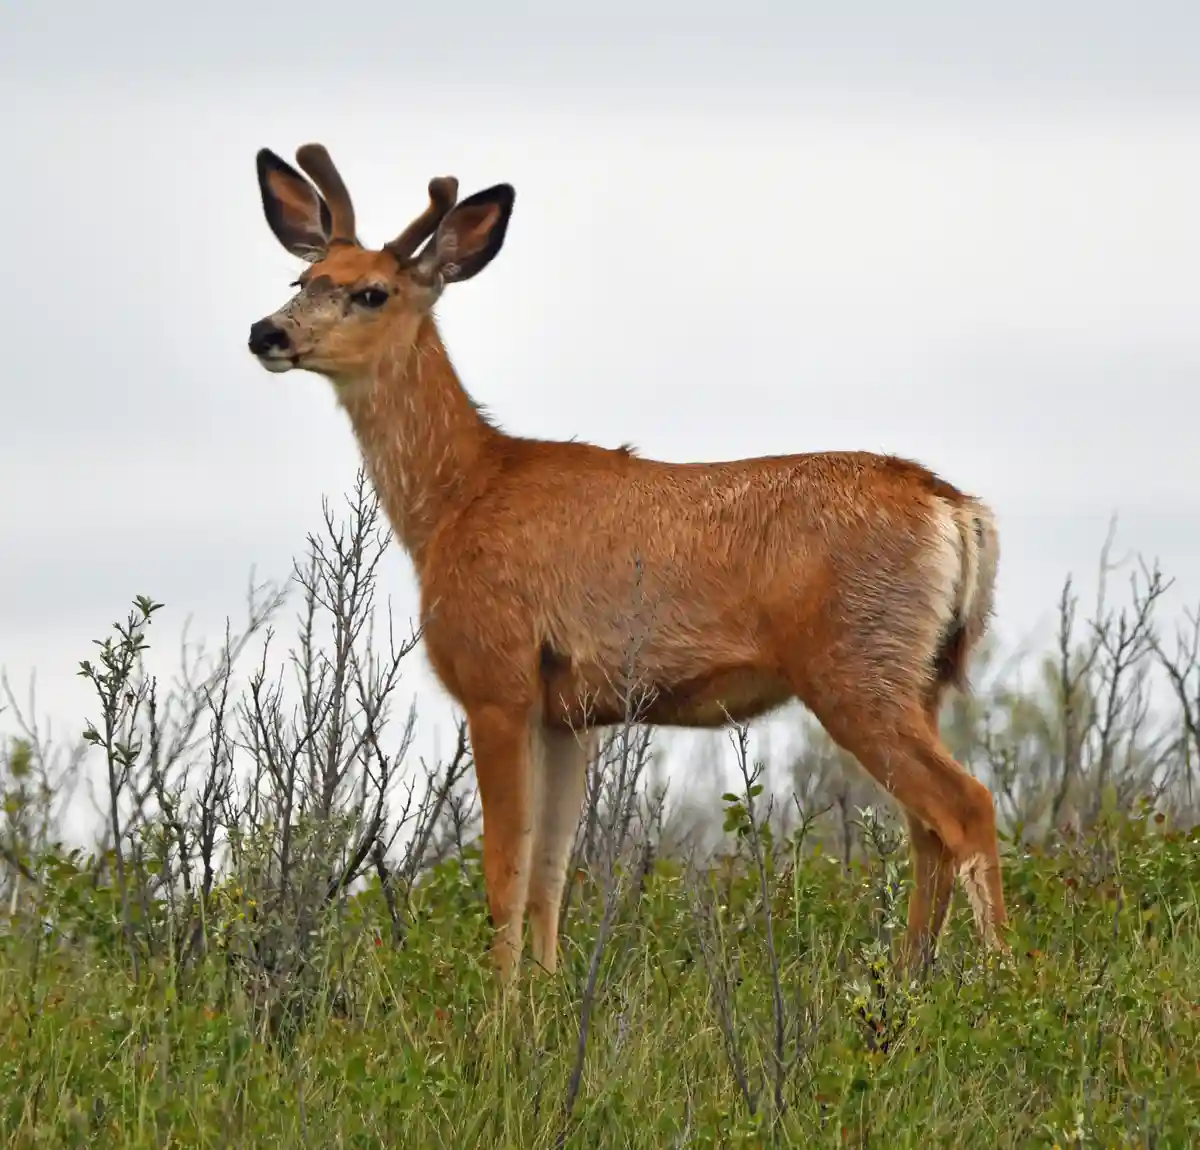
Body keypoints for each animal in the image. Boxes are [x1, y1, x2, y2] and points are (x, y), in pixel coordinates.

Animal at [246, 141, 1010, 986]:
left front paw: (497, 1013)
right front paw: (543, 1000)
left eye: (371, 292)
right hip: (920, 673)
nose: (265, 333)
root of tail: (956, 509)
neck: (457, 500)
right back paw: (907, 984)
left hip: (855, 662)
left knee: (966, 807)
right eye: (303, 280)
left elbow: (504, 874)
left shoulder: (497, 676)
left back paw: (1001, 986)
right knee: (926, 831)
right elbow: (550, 876)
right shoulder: (571, 712)